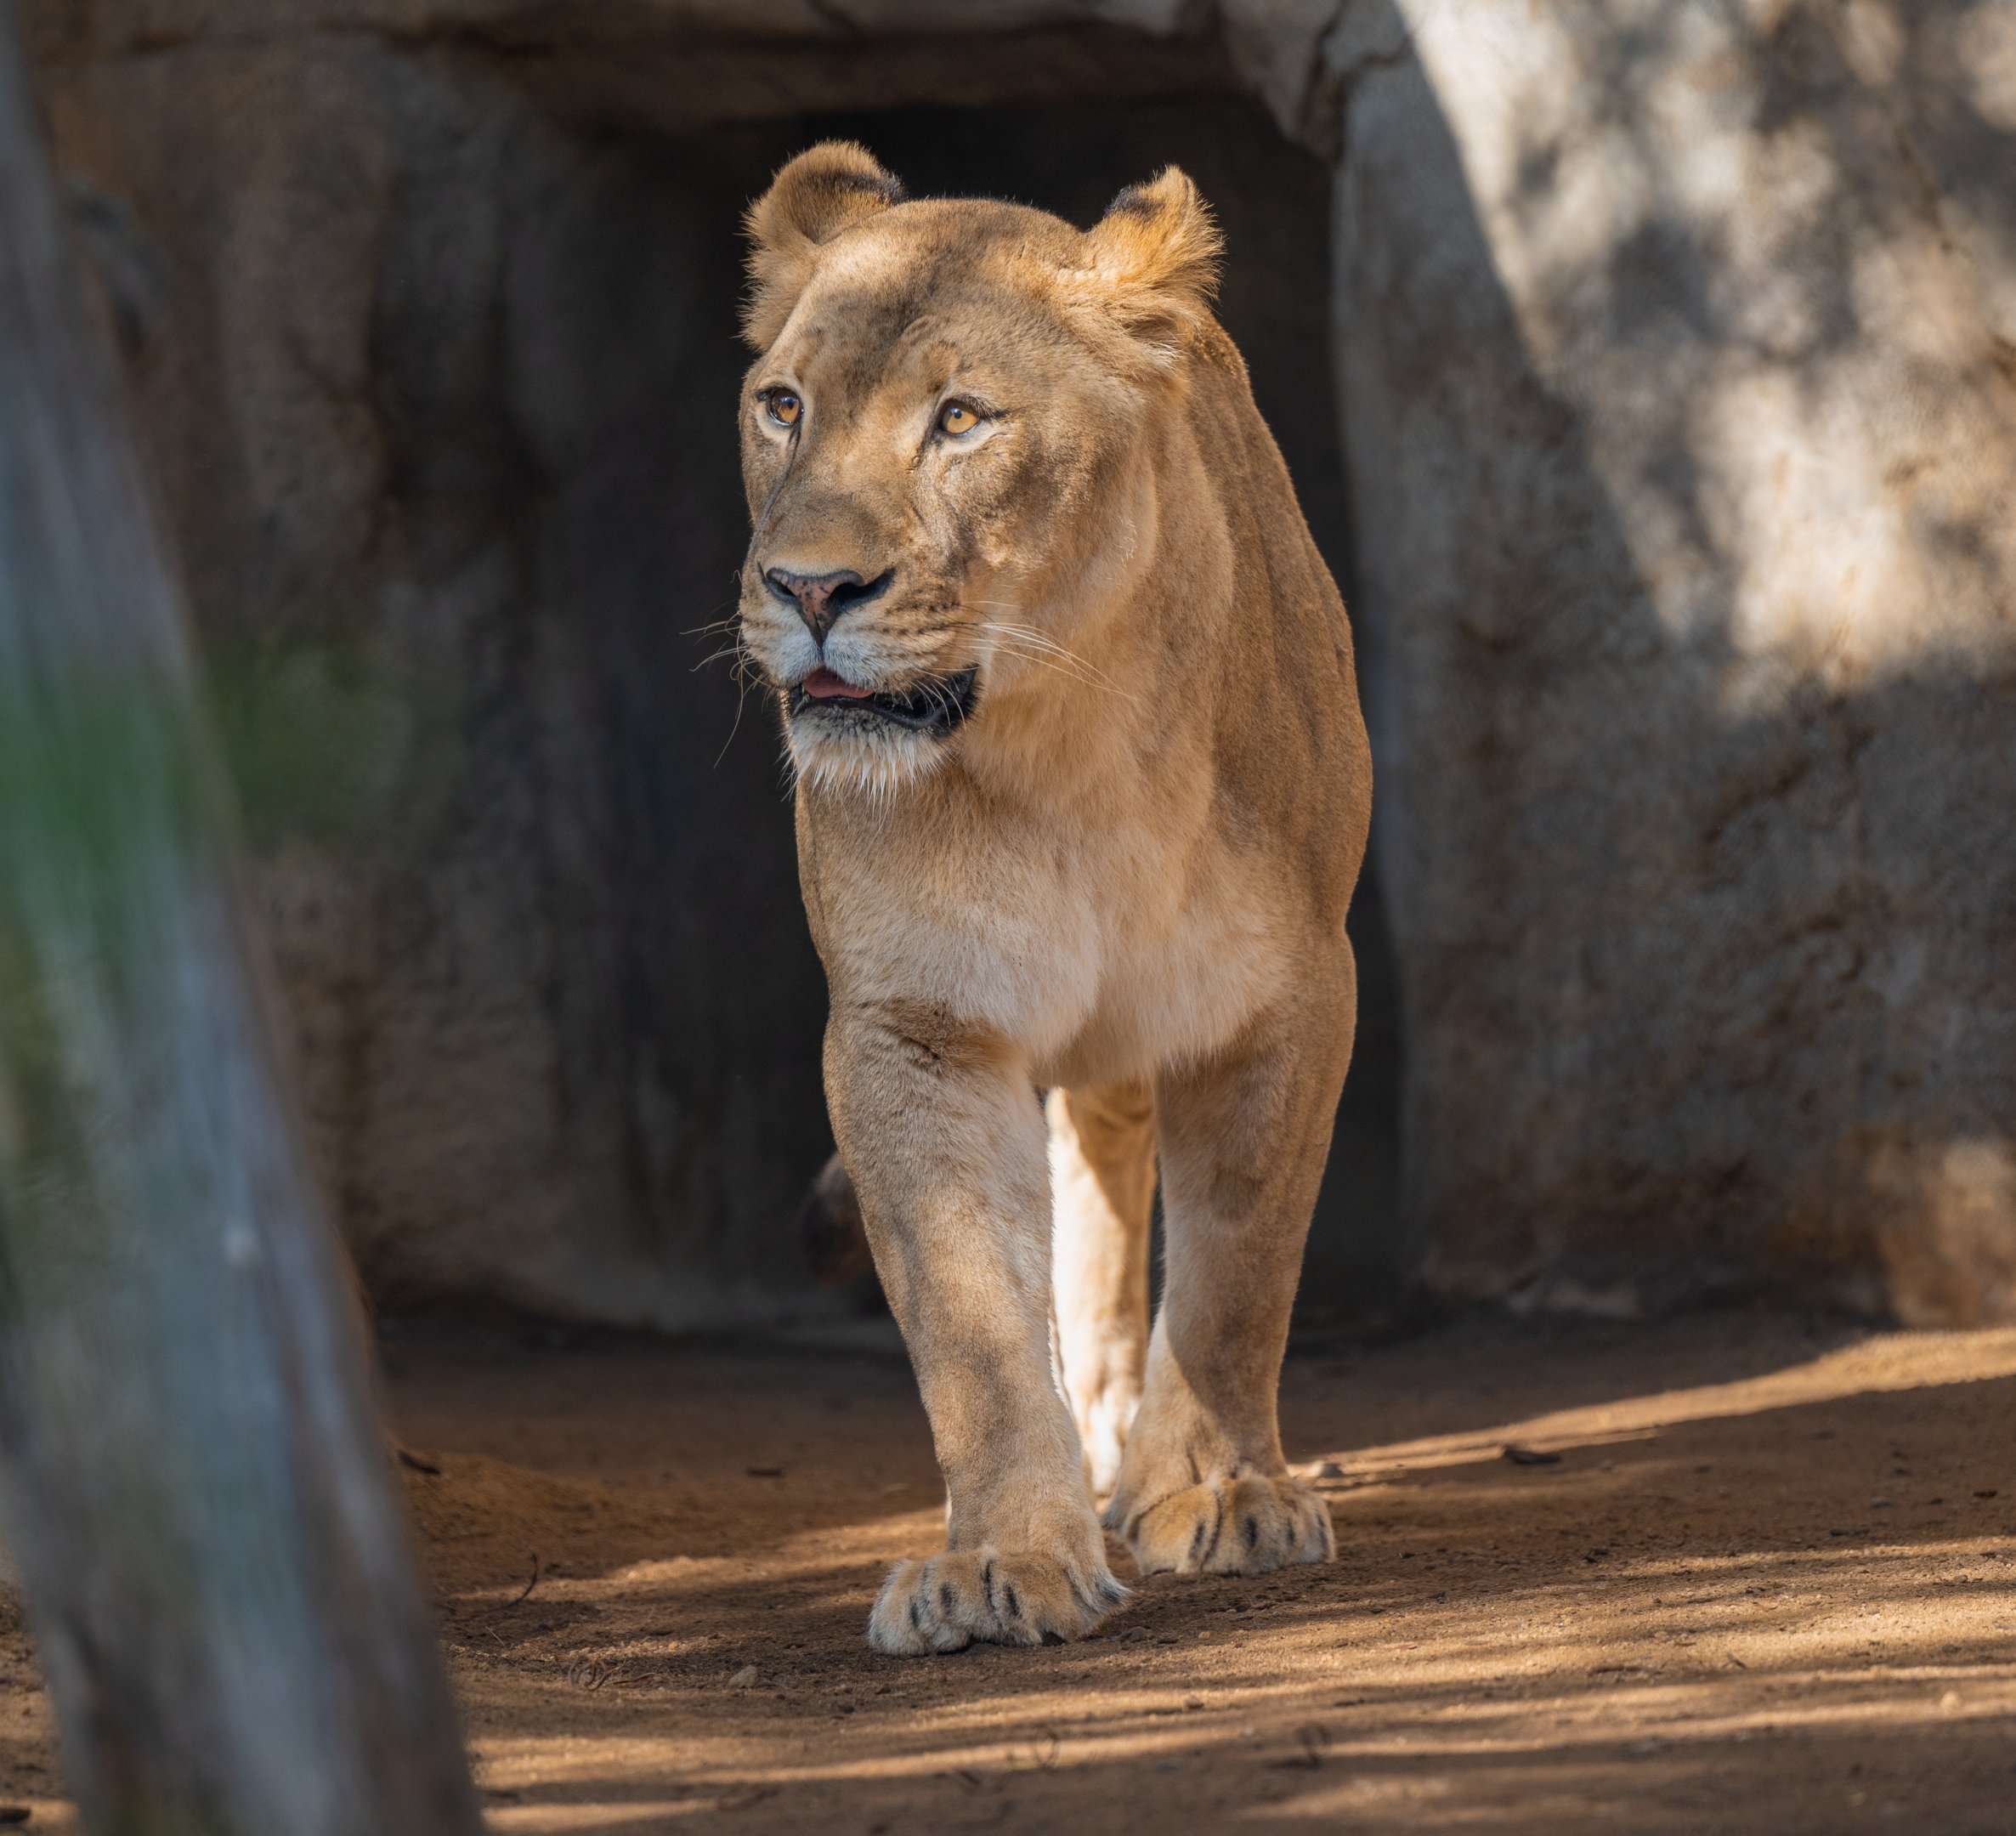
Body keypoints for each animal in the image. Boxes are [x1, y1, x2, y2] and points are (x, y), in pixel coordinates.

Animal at [735, 142, 1371, 1655]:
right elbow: (969, 1318)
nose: (807, 588)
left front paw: (1217, 1493)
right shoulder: (916, 1026)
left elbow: (1238, 1269)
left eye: (961, 419)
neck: (1062, 741)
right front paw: (1004, 1558)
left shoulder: (1288, 997)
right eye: (783, 407)